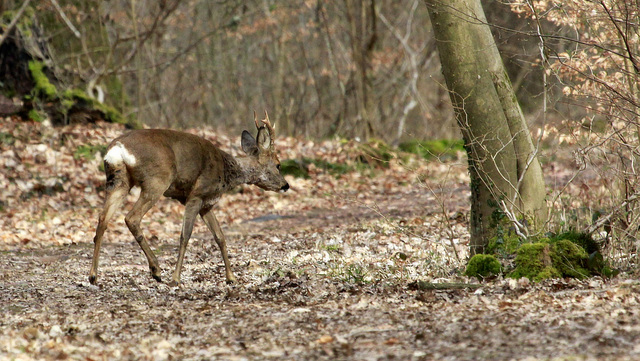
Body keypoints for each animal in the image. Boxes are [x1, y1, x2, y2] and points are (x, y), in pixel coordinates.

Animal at [89, 111, 288, 286]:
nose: (286, 185)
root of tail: (117, 149)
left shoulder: (207, 204)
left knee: (103, 219)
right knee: (131, 218)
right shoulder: (196, 195)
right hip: (156, 181)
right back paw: (156, 270)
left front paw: (231, 278)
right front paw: (176, 278)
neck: (225, 171)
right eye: (278, 164)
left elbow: (220, 237)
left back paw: (93, 276)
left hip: (118, 180)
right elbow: (185, 235)